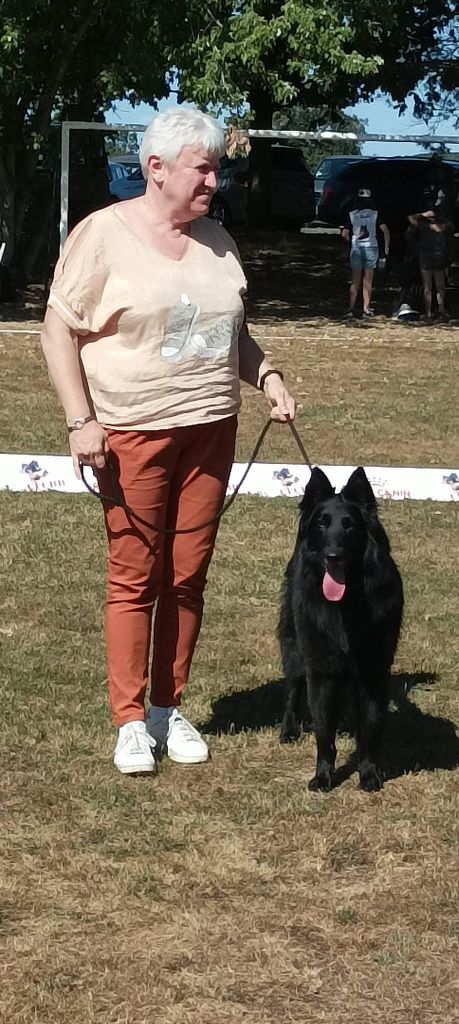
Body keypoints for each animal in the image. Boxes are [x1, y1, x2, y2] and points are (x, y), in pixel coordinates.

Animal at [278, 466, 404, 792]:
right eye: (323, 522)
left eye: (349, 525)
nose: (333, 555)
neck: (347, 601)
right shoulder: (321, 669)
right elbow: (325, 732)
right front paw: (323, 776)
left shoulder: (373, 670)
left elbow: (370, 726)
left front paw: (369, 774)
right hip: (294, 643)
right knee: (293, 686)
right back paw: (288, 728)